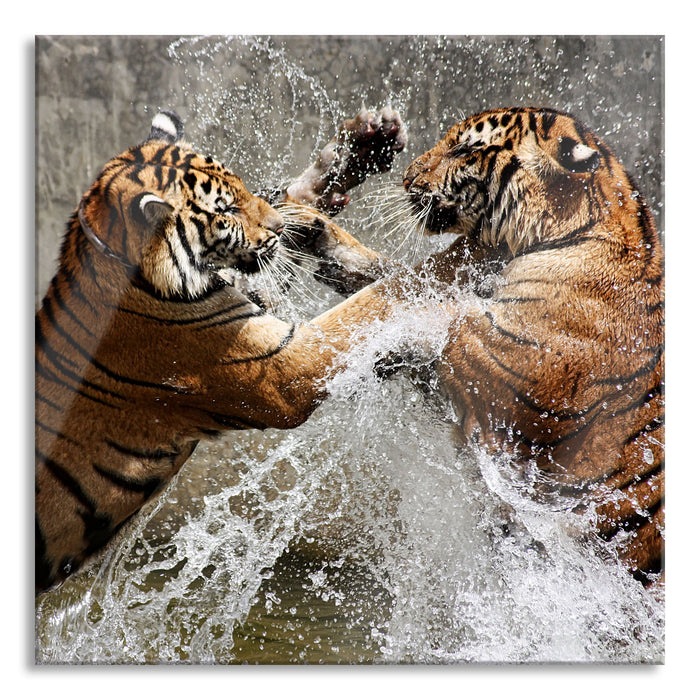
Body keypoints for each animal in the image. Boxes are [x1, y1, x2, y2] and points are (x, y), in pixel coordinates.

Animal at [35, 107, 411, 593]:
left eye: (244, 189)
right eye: (227, 210)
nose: (276, 226)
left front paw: (360, 148)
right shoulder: (282, 369)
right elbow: (368, 304)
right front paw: (444, 274)